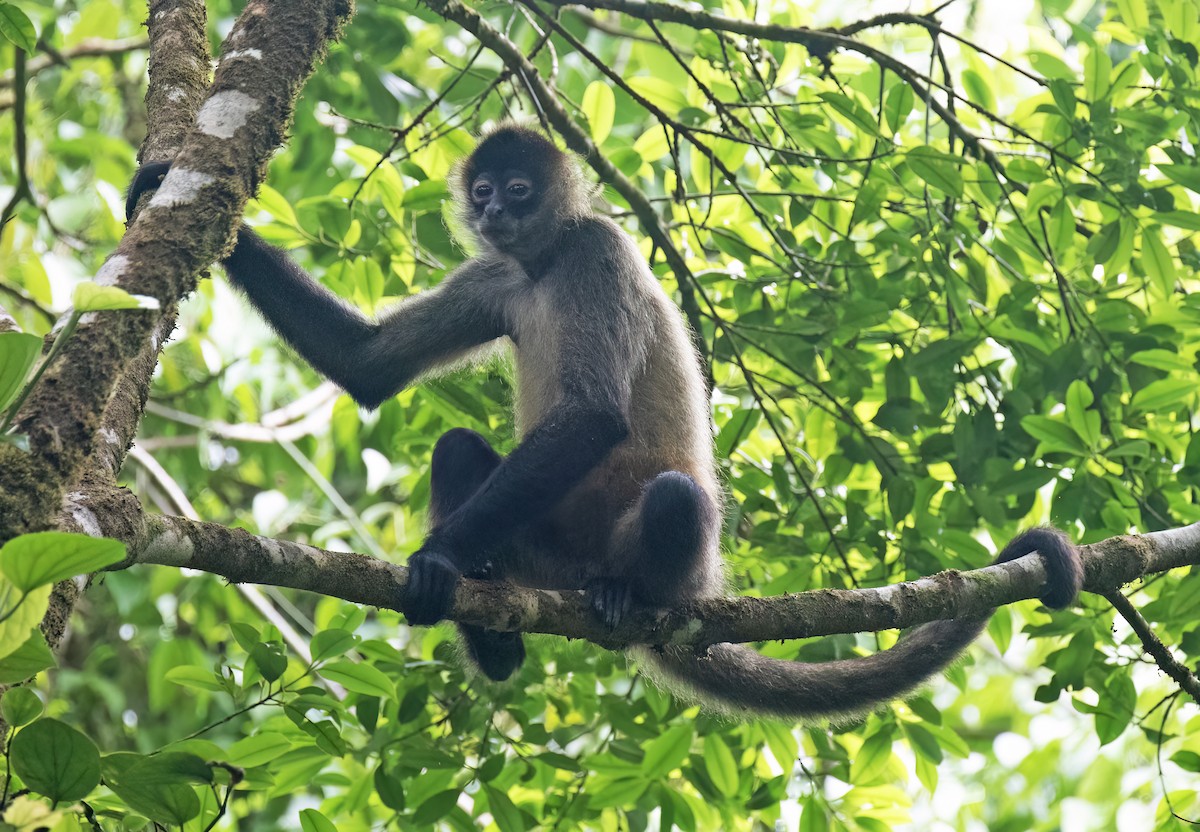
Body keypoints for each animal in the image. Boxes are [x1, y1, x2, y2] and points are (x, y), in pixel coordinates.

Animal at [126, 124, 1084, 720]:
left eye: (518, 189)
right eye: (484, 190)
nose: (494, 211)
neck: (544, 264)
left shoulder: (595, 252)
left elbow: (589, 417)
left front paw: (436, 559)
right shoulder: (499, 275)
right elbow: (369, 365)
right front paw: (177, 197)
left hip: (670, 558)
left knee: (674, 501)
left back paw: (627, 595)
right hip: (538, 549)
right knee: (460, 448)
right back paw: (494, 638)